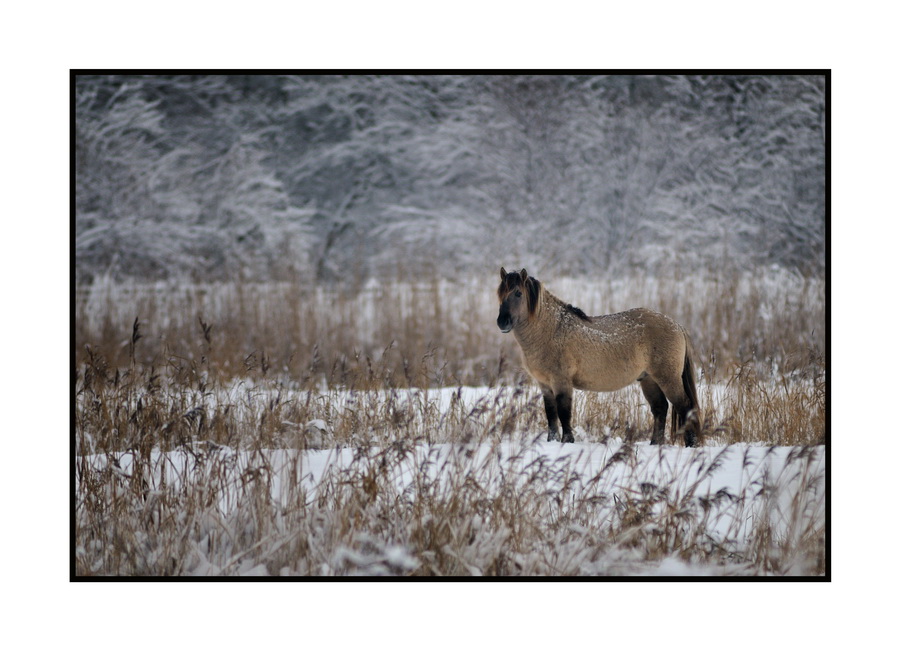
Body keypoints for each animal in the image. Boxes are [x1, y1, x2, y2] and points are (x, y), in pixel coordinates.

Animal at [496, 268, 700, 446]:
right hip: (648, 379)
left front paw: (567, 441)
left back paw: (691, 444)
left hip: (668, 378)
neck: (552, 330)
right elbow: (551, 414)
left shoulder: (561, 381)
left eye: (518, 293)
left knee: (685, 406)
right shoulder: (545, 384)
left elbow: (564, 412)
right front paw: (551, 441)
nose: (502, 322)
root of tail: (676, 325)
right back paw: (655, 444)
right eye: (500, 293)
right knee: (660, 408)